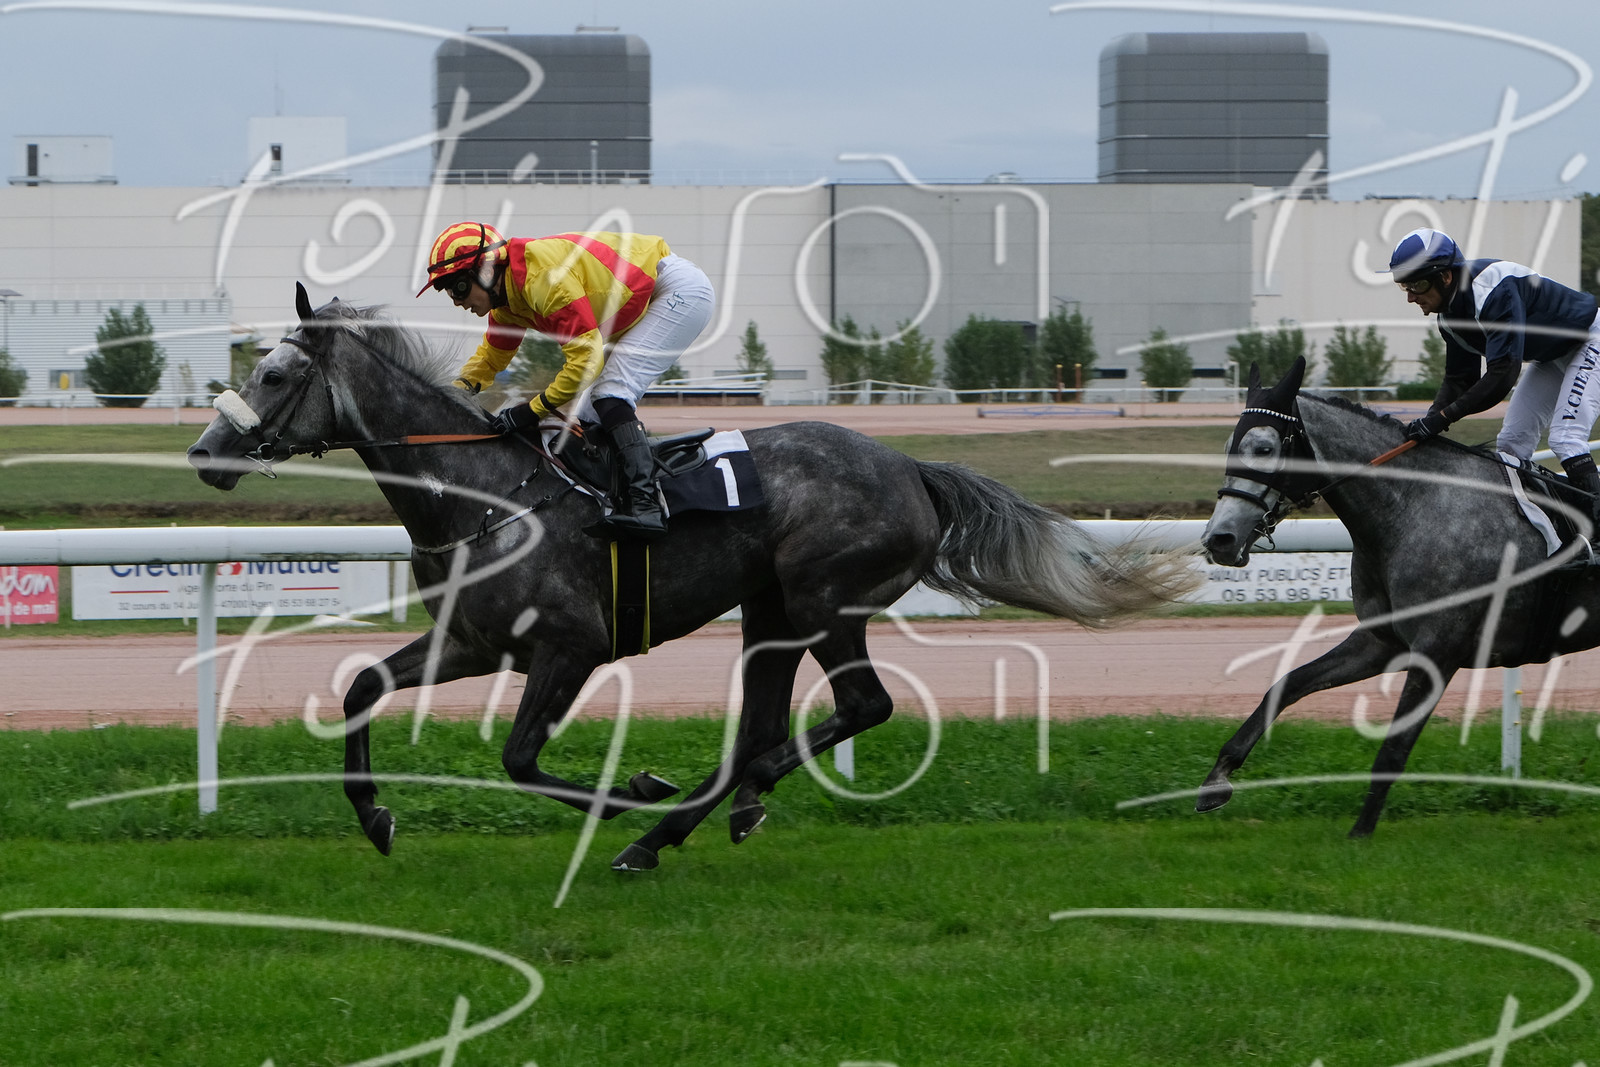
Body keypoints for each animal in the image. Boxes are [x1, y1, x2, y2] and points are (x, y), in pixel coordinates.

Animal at [187, 285, 1198, 870]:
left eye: (274, 373)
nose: (202, 453)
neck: (482, 492)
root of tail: (912, 466)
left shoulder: (570, 646)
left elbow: (521, 760)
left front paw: (636, 788)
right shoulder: (471, 640)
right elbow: (361, 685)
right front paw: (374, 817)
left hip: (825, 598)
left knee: (859, 707)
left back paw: (682, 818)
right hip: (770, 611)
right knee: (764, 722)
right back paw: (703, 817)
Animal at [1199, 356, 1600, 837]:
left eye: (1263, 448)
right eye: (1229, 445)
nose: (1219, 539)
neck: (1413, 507)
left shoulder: (1437, 651)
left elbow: (1394, 749)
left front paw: (1360, 832)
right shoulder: (1381, 641)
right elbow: (1287, 684)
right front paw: (1217, 778)